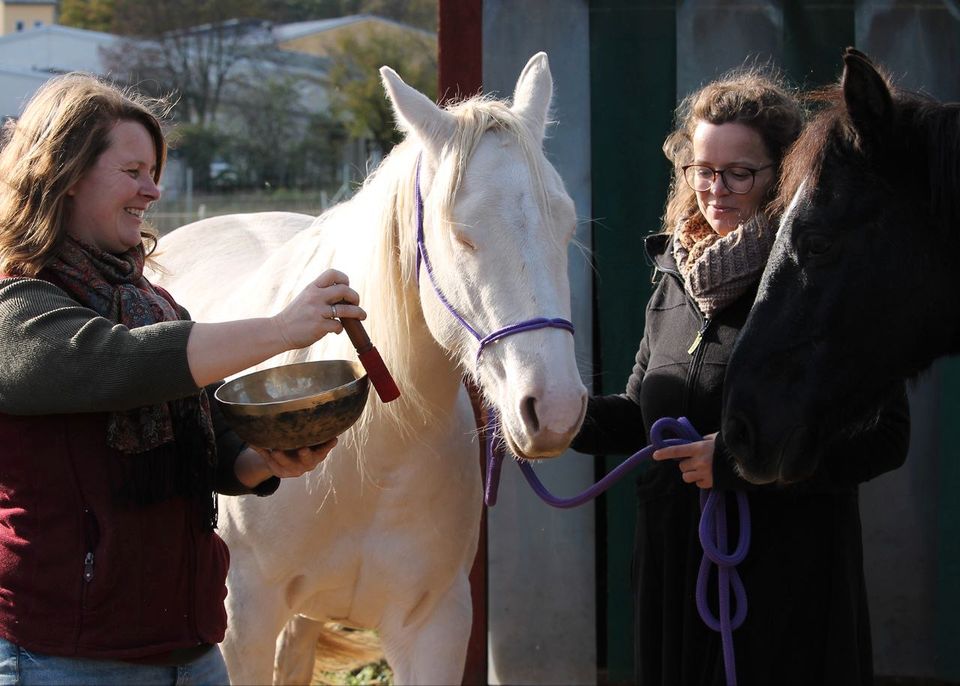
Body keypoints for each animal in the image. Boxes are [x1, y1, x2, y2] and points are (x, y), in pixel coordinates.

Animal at [150, 55, 584, 686]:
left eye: (567, 225)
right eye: (461, 234)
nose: (553, 409)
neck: (372, 464)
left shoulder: (436, 626)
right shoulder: (242, 624)